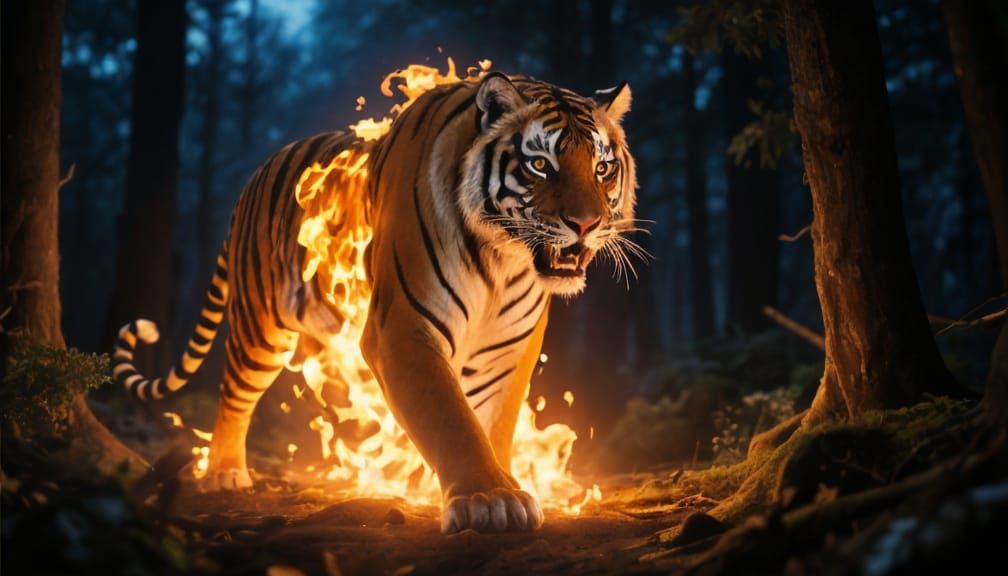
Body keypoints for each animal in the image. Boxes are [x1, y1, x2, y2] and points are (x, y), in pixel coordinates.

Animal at [112, 71, 637, 533]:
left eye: (602, 168)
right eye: (540, 164)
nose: (586, 224)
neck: (503, 262)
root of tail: (256, 173)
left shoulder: (511, 346)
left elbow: (493, 421)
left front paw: (502, 482)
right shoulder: (403, 327)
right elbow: (450, 418)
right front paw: (489, 499)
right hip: (261, 328)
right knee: (234, 395)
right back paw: (224, 472)